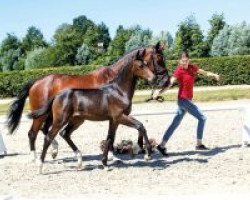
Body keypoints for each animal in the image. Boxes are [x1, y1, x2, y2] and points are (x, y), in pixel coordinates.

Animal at [7, 42, 169, 161]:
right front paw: (112, 156)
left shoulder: (114, 118)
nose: (165, 80)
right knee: (33, 133)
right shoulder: (116, 116)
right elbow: (116, 135)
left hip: (53, 116)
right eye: (158, 58)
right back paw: (36, 158)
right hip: (42, 116)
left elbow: (113, 136)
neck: (114, 82)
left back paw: (55, 152)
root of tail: (36, 82)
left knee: (47, 131)